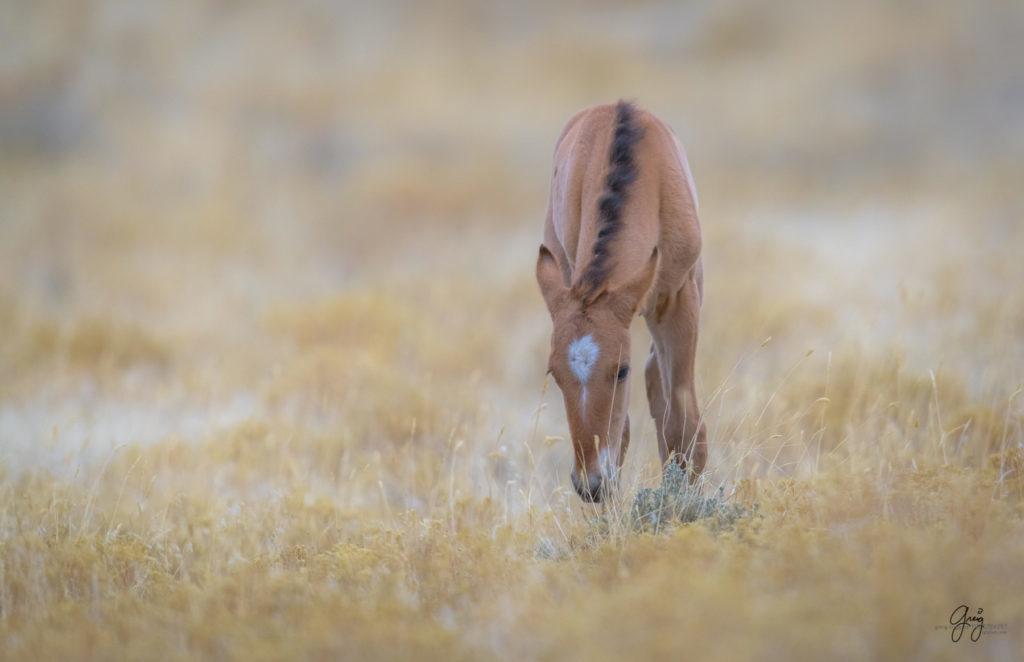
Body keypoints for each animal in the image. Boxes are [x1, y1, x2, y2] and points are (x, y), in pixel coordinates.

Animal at [536, 99, 704, 504]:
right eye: (553, 373)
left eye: (620, 370)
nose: (590, 484)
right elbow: (625, 433)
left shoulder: (679, 298)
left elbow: (684, 425)